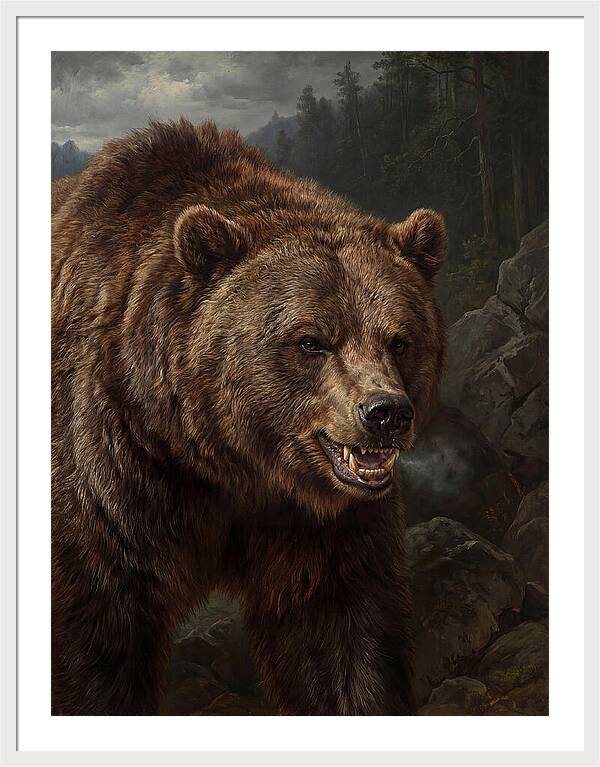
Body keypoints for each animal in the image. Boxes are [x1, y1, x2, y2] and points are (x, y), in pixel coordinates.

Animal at [51, 119, 446, 716]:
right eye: (311, 341)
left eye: (400, 340)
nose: (385, 413)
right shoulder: (109, 473)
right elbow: (96, 640)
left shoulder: (321, 525)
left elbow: (342, 640)